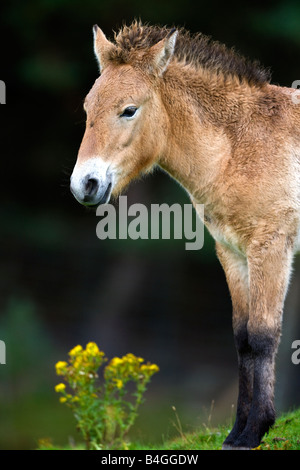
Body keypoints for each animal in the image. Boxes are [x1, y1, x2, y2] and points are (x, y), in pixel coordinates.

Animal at [71, 21, 300, 448]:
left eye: (129, 110)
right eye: (88, 108)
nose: (85, 186)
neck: (239, 145)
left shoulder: (271, 247)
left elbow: (263, 336)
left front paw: (256, 430)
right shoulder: (231, 251)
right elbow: (242, 337)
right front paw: (236, 432)